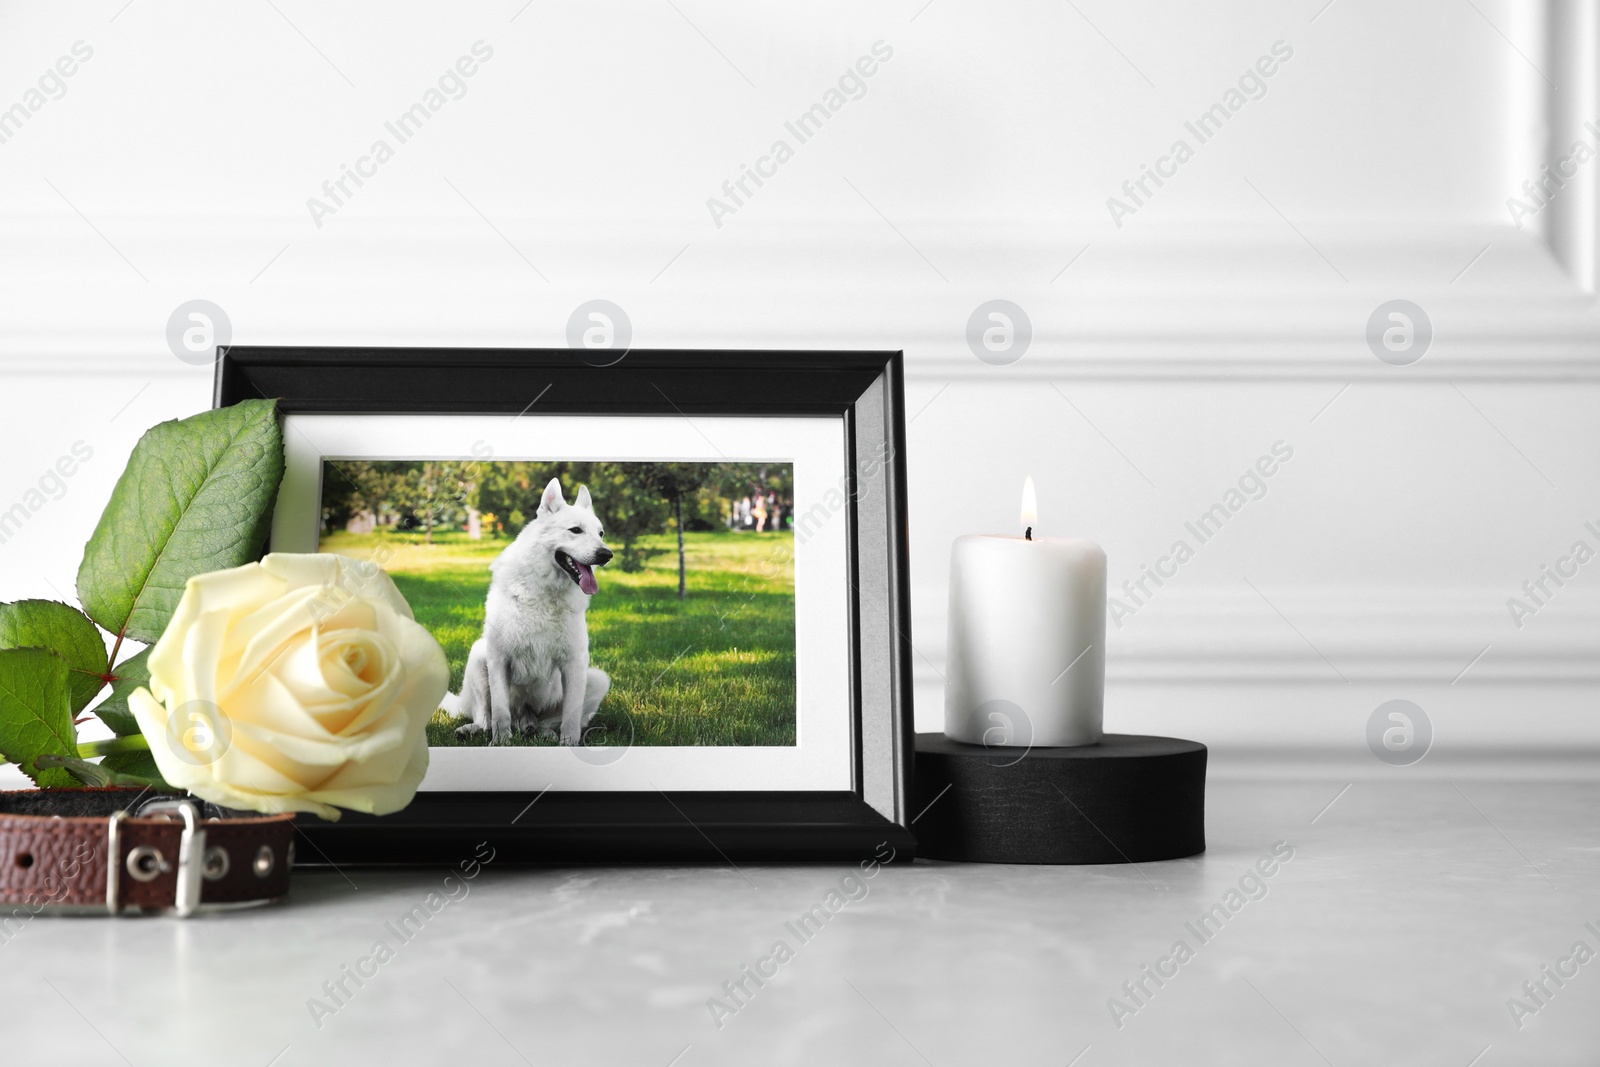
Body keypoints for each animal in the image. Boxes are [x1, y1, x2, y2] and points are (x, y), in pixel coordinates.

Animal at [448, 476, 614, 742]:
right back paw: (474, 729)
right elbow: (500, 713)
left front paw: (569, 744)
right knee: (485, 718)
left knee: (552, 722)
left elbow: (570, 718)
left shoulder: (575, 662)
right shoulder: (499, 658)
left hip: (597, 679)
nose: (606, 554)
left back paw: (541, 732)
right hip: (478, 655)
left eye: (601, 533)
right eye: (575, 530)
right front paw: (501, 743)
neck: (545, 593)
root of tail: (524, 718)